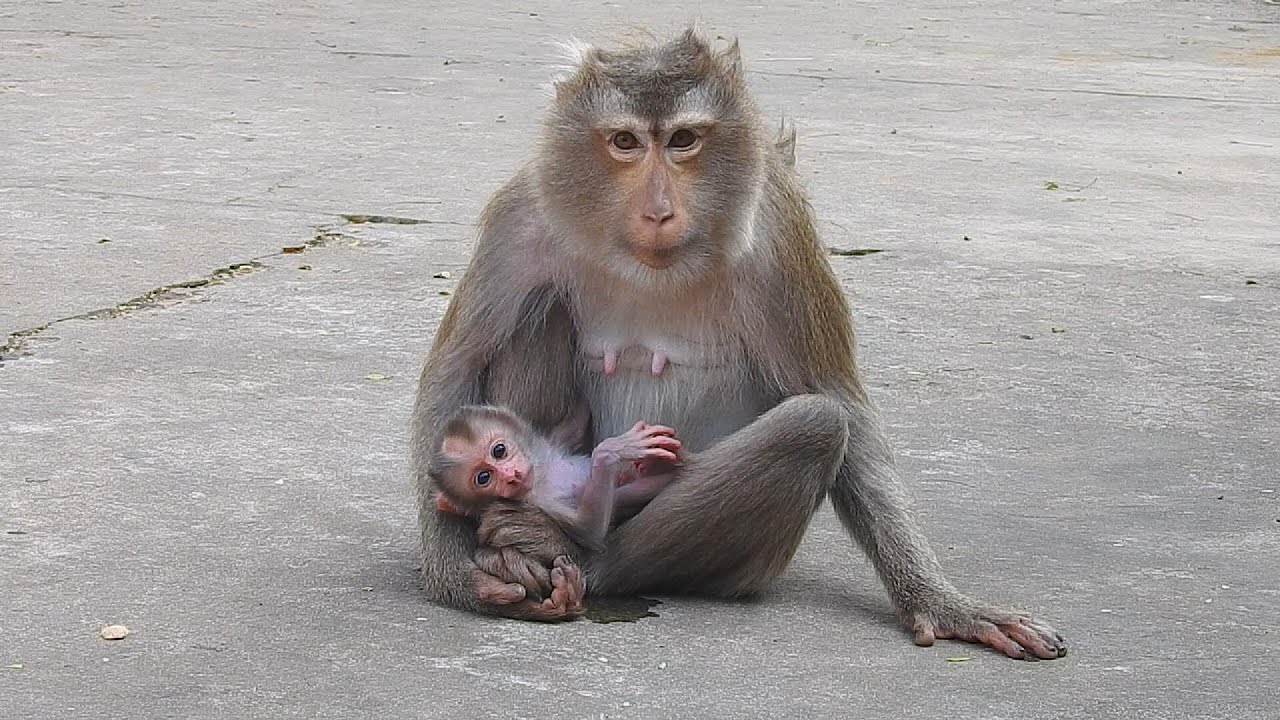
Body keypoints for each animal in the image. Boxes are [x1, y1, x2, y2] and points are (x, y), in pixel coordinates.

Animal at [410, 28, 1067, 658]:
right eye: (624, 141)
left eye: (683, 140)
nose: (658, 211)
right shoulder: (521, 218)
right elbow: (454, 373)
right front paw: (459, 577)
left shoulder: (780, 236)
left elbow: (838, 403)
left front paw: (941, 601)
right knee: (540, 309)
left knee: (813, 424)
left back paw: (589, 559)